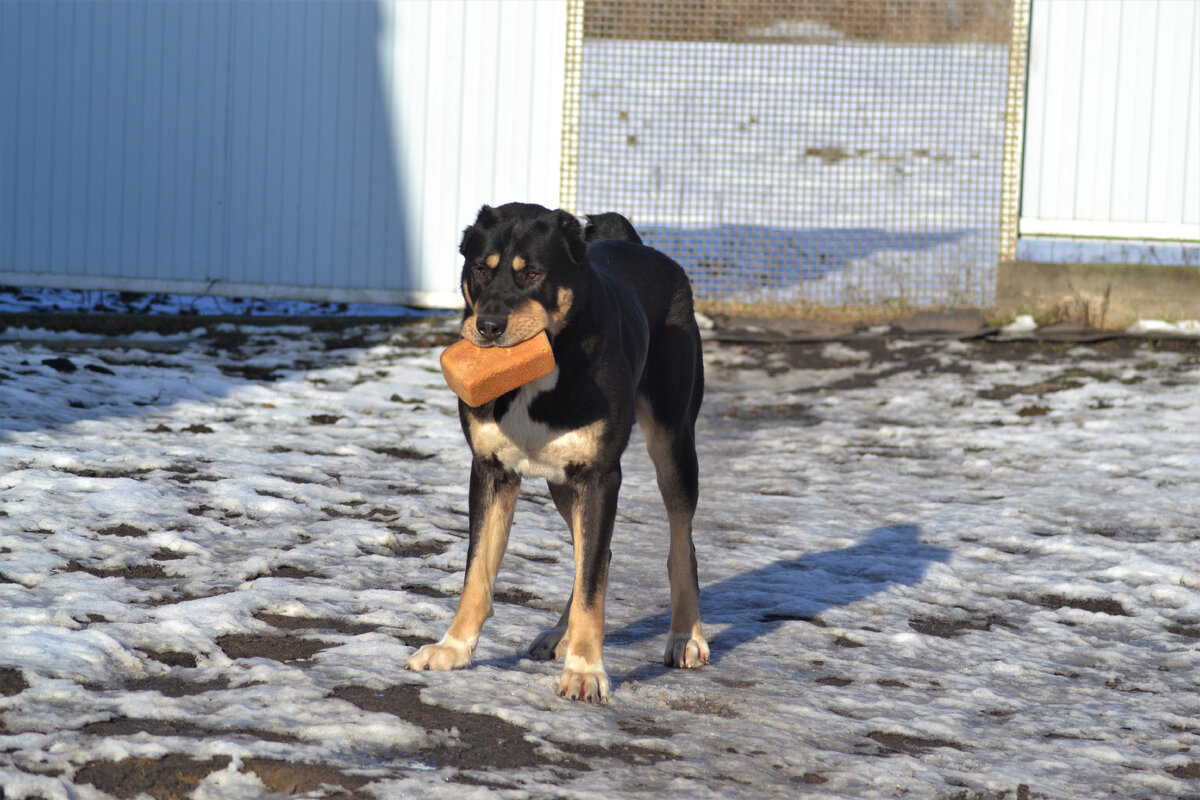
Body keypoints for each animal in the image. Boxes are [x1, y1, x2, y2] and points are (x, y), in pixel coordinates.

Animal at [408, 203, 705, 705]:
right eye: (480, 270)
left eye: (532, 274)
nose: (488, 328)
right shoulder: (491, 471)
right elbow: (478, 572)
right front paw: (453, 648)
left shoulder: (601, 477)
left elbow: (592, 587)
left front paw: (585, 671)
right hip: (561, 483)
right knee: (598, 555)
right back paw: (560, 635)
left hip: (673, 444)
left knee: (680, 545)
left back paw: (686, 636)